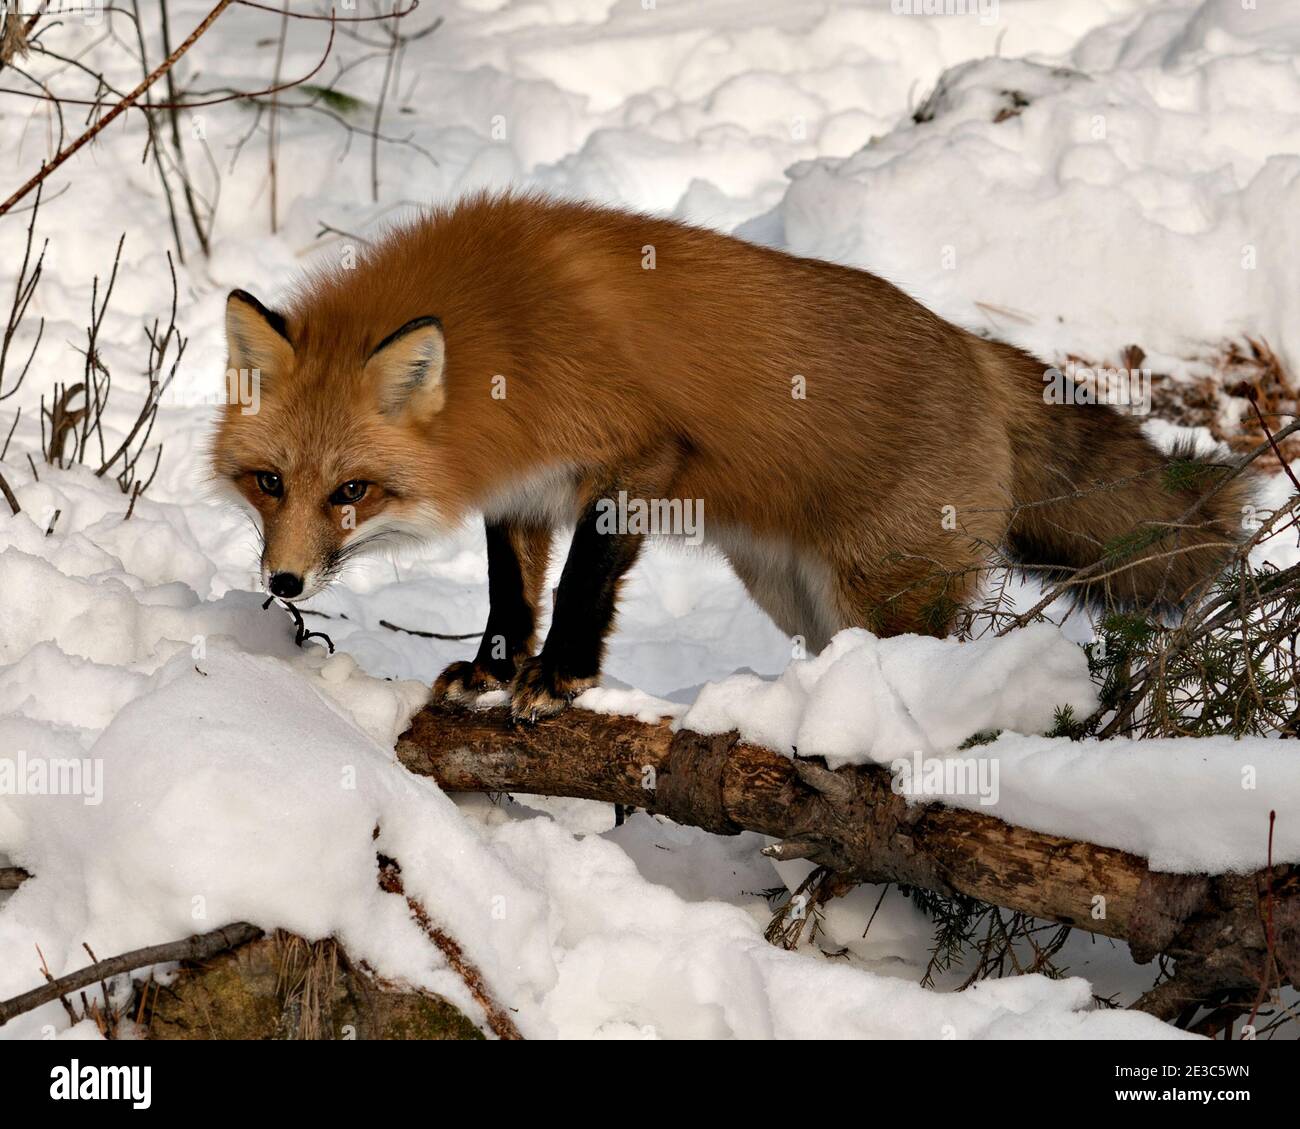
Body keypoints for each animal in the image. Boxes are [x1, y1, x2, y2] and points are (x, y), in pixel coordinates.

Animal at [210, 191, 1248, 717]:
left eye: (352, 489)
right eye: (270, 482)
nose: (285, 583)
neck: (510, 332)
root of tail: (974, 349)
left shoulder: (638, 459)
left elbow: (582, 584)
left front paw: (560, 676)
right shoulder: (522, 484)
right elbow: (513, 592)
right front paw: (497, 669)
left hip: (886, 591)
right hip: (799, 596)